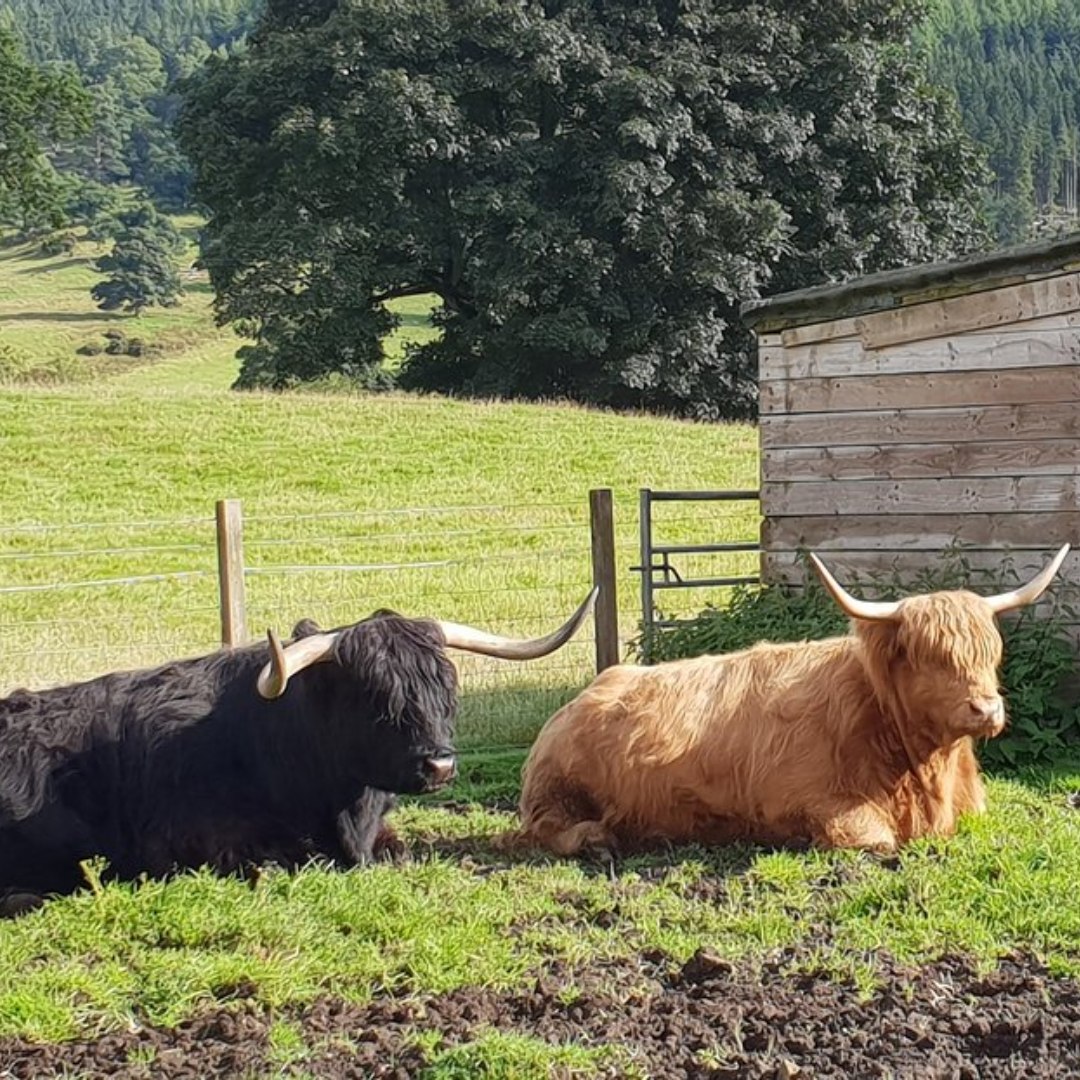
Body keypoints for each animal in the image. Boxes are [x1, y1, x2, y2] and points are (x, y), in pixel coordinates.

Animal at [508, 547, 1070, 858]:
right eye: (931, 656)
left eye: (991, 654)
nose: (986, 710)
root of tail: (581, 697)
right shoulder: (818, 804)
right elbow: (874, 840)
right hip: (553, 795)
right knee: (545, 829)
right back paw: (596, 839)